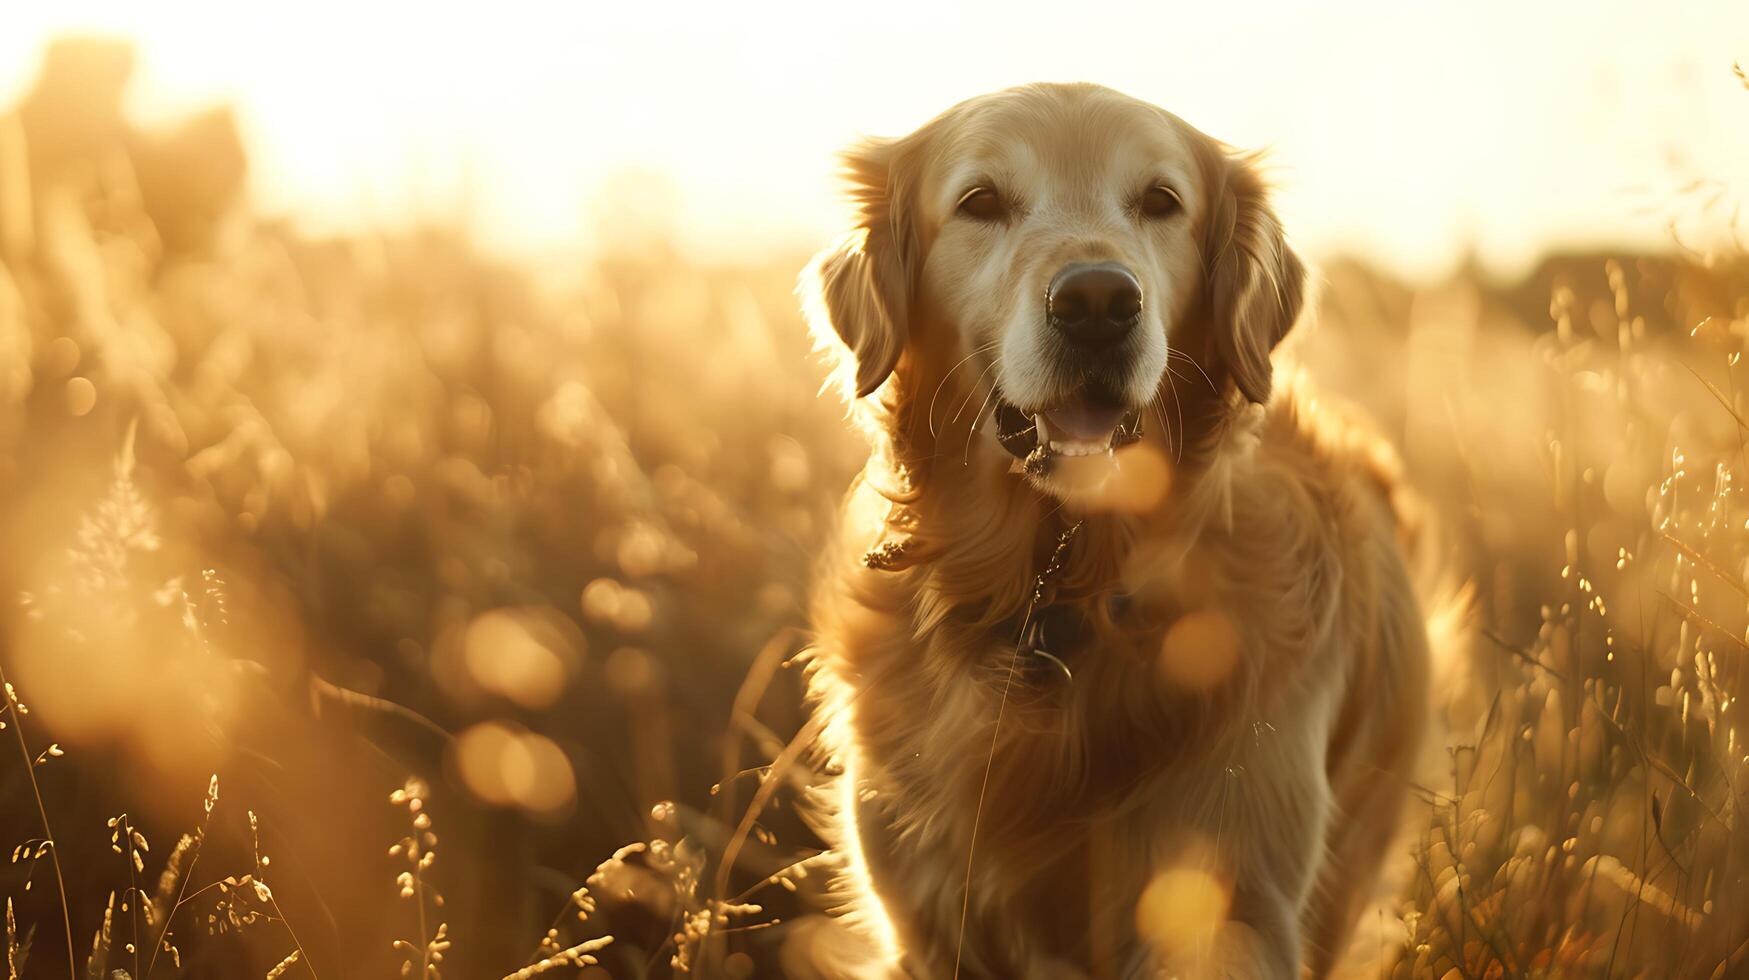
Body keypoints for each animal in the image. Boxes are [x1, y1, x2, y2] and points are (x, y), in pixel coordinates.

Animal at [801, 86, 1427, 980]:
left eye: (1160, 201)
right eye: (980, 201)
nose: (1097, 303)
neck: (1060, 591)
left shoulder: (1230, 904)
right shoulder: (921, 923)